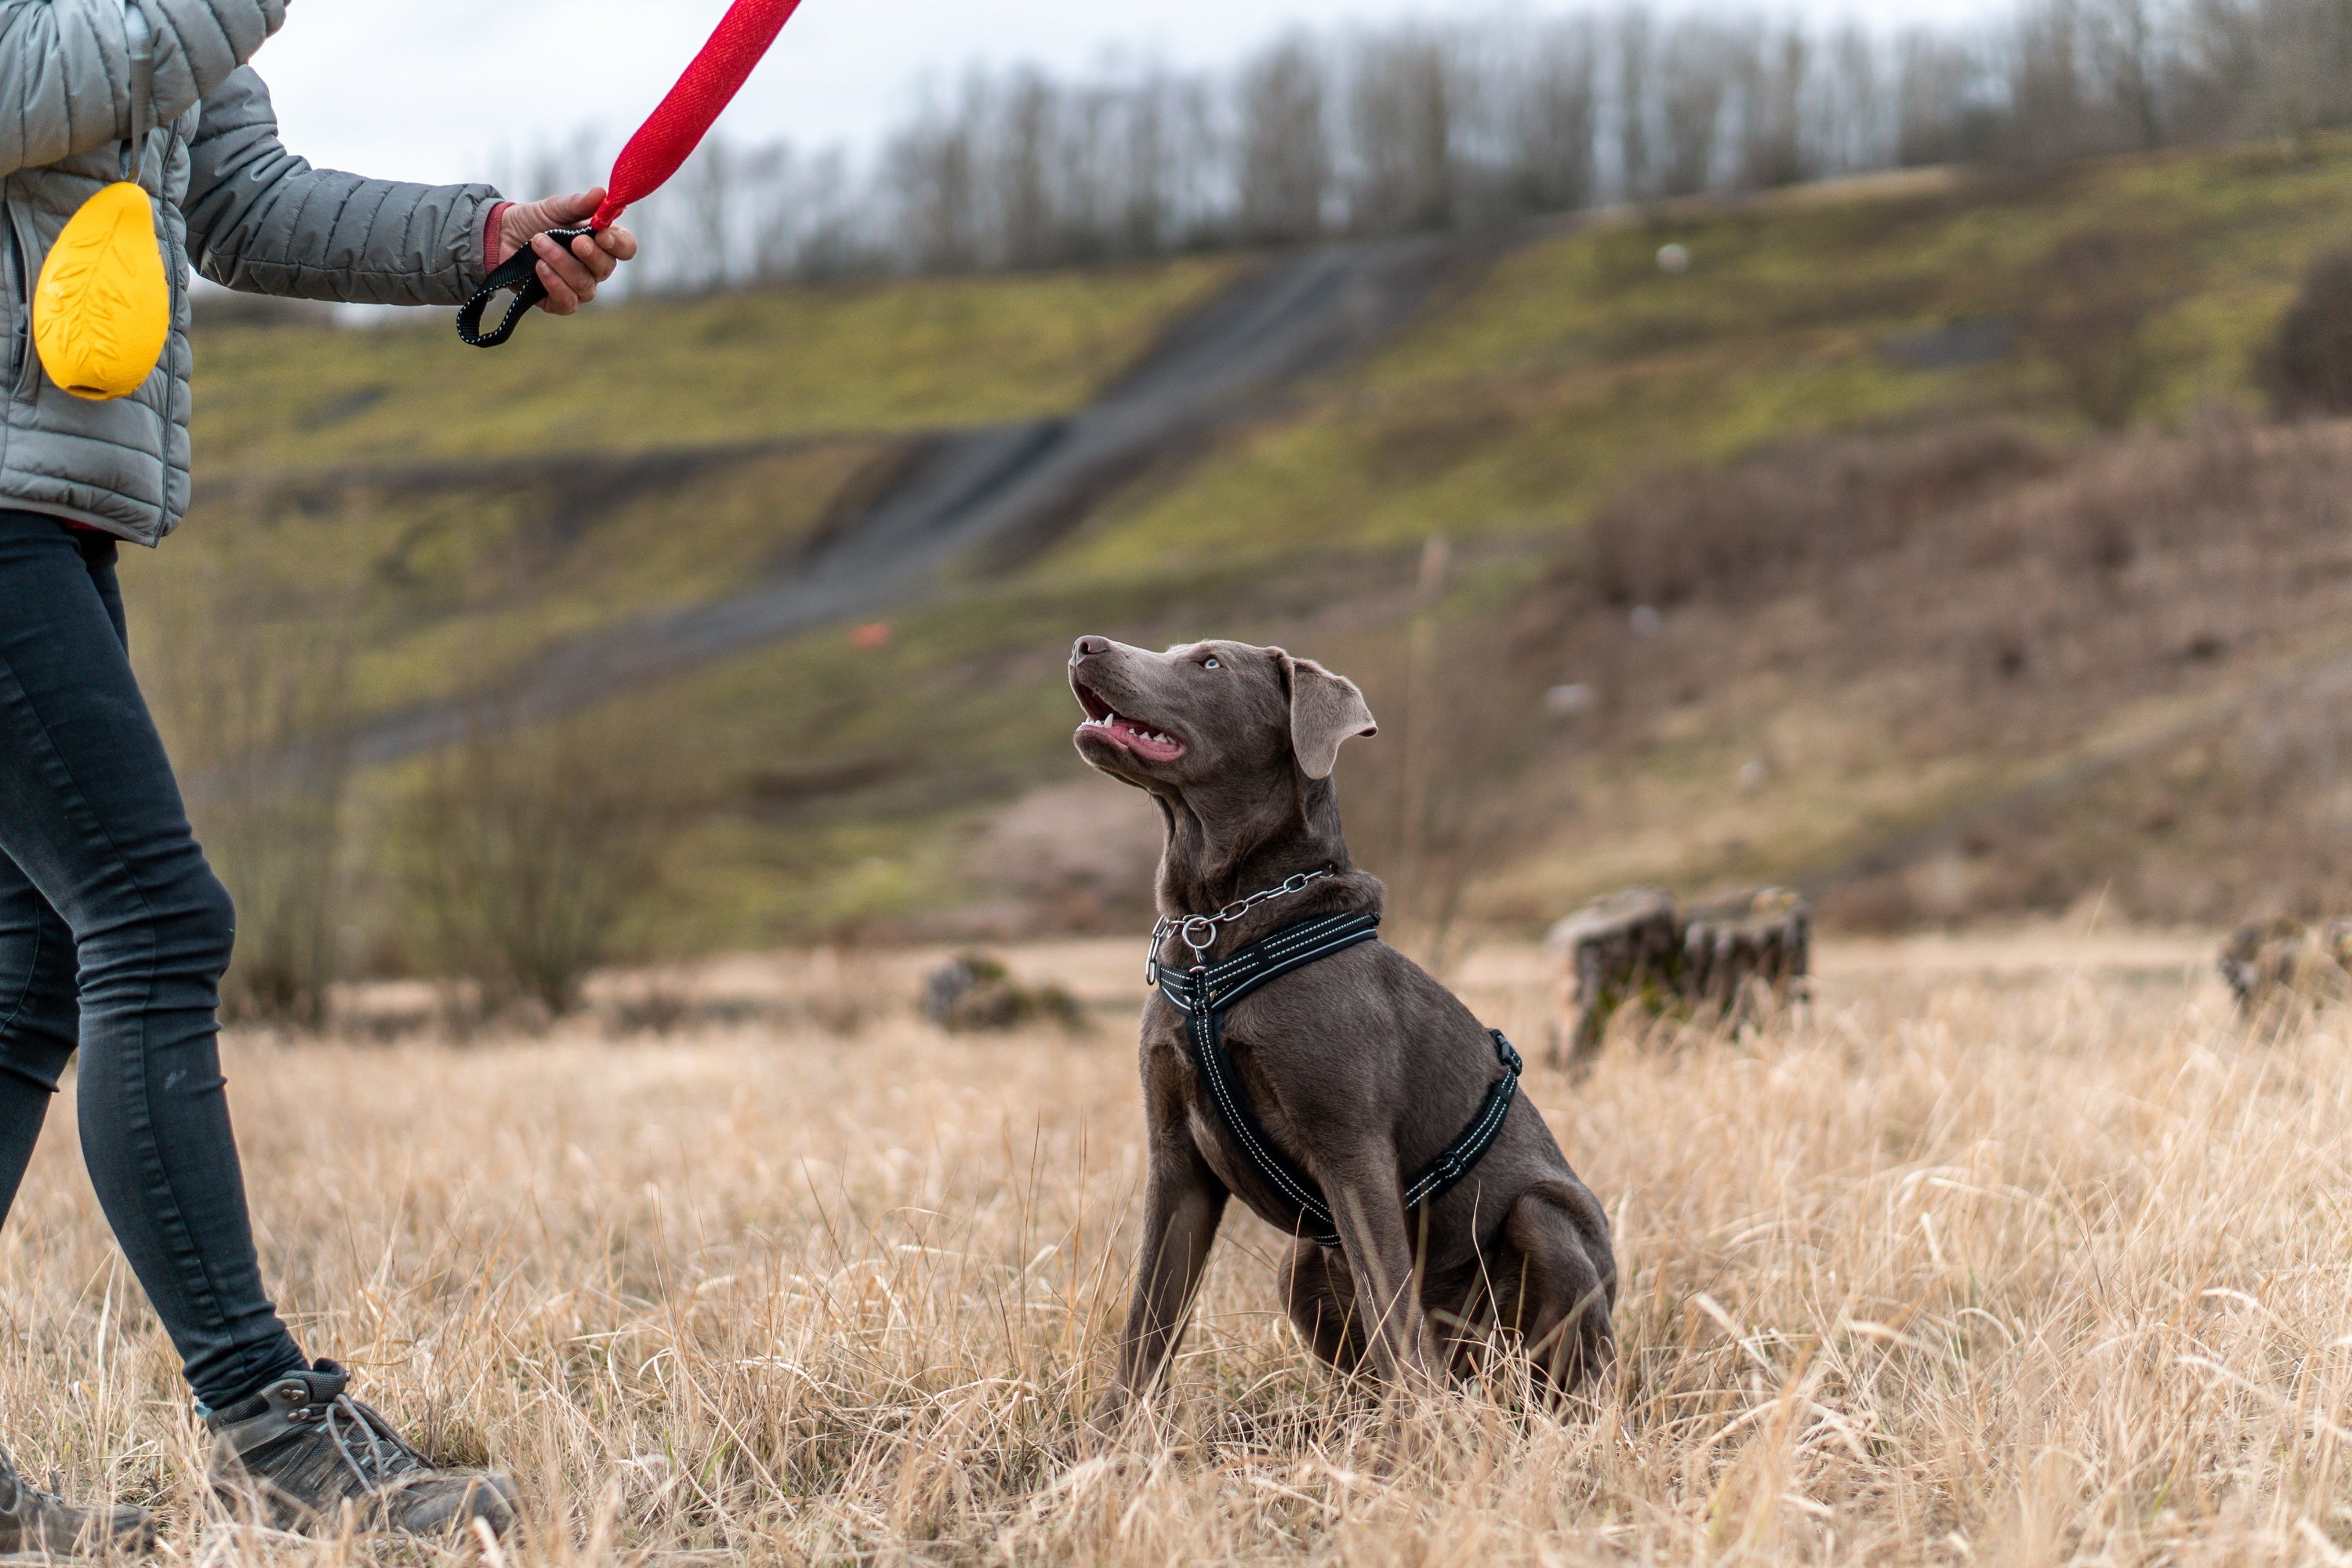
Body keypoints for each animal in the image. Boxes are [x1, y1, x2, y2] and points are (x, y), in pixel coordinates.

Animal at [1073, 634, 1609, 1420]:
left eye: (1209, 664)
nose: (1085, 645)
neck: (1214, 932)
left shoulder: (1349, 1148)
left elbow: (1391, 1311)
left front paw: (1421, 1438)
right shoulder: (1176, 1158)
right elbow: (1148, 1320)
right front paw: (1110, 1441)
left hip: (1546, 1221)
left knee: (1557, 1372)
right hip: (1299, 1265)